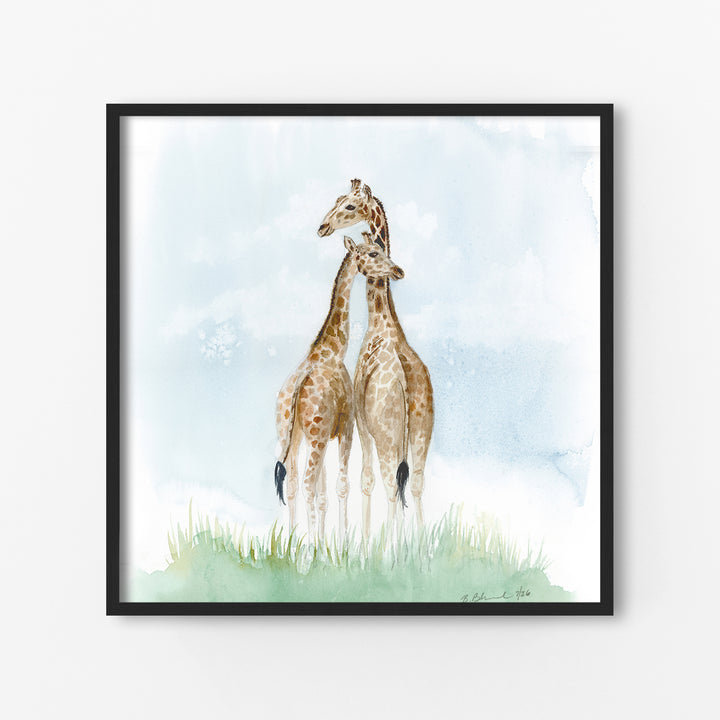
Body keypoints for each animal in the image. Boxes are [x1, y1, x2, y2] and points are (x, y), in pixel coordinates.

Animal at [274, 235, 404, 541]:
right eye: (373, 253)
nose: (398, 271)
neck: (333, 350)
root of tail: (295, 390)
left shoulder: (324, 433)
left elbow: (323, 495)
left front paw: (325, 545)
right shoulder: (344, 426)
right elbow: (340, 486)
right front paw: (341, 544)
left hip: (290, 436)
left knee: (292, 484)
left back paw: (289, 543)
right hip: (316, 437)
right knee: (306, 484)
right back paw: (306, 547)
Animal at [319, 181, 434, 540]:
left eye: (350, 206)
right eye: (338, 199)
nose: (322, 227)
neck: (383, 324)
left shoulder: (362, 421)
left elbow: (366, 482)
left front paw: (368, 543)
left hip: (388, 434)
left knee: (390, 485)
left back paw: (389, 548)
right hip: (421, 432)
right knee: (414, 484)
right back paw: (418, 546)